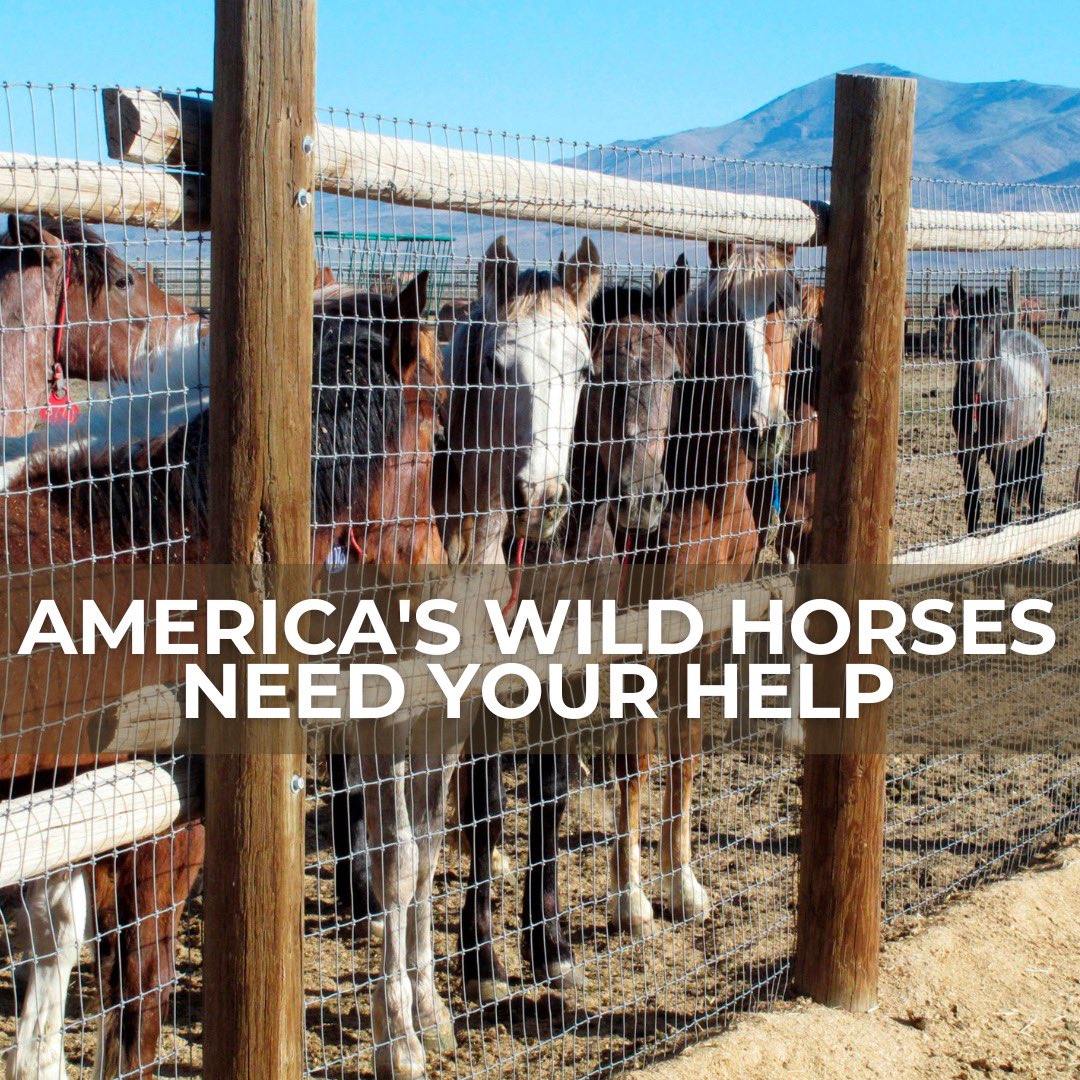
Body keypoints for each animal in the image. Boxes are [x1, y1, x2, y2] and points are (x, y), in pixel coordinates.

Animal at [606, 240, 801, 933]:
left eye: (789, 308)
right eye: (720, 319)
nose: (766, 428)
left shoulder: (704, 628)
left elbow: (684, 751)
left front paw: (683, 883)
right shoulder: (635, 633)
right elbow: (635, 759)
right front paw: (631, 898)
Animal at [952, 286, 1052, 533]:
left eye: (990, 330)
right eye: (959, 328)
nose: (972, 378)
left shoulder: (1004, 451)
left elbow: (1002, 509)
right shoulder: (967, 451)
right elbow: (972, 505)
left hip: (1037, 438)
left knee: (1035, 483)